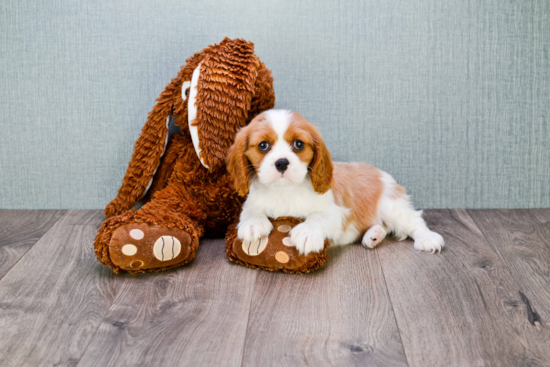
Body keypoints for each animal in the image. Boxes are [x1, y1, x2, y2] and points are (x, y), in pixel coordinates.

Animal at [226, 109, 446, 256]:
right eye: (263, 145)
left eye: (298, 144)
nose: (281, 162)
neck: (285, 191)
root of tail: (377, 170)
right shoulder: (251, 202)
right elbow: (250, 211)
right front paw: (253, 224)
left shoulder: (336, 212)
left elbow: (318, 217)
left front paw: (307, 232)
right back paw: (373, 236)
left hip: (391, 206)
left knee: (414, 221)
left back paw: (427, 238)